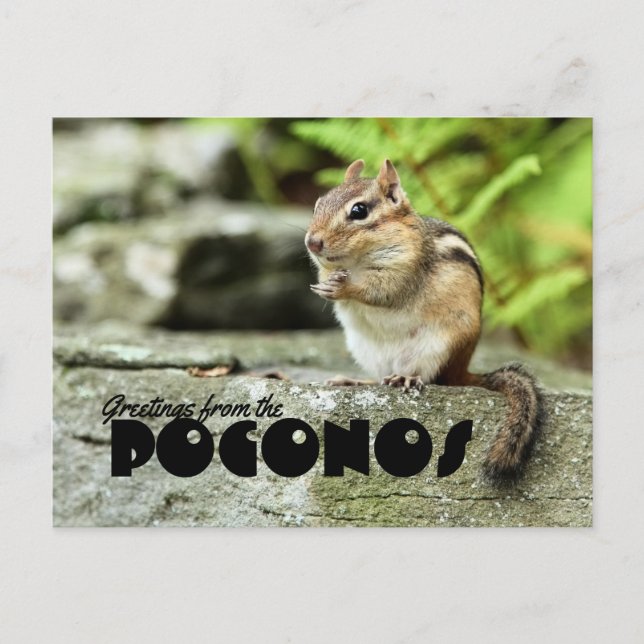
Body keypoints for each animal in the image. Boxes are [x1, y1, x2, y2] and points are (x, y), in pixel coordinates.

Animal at [305, 158, 545, 482]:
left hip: (438, 348)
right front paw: (327, 286)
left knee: (430, 378)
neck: (355, 261)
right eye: (318, 204)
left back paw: (405, 377)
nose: (312, 243)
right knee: (378, 379)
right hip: (366, 351)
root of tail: (462, 371)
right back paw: (353, 381)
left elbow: (381, 291)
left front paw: (343, 288)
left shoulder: (405, 268)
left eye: (359, 211)